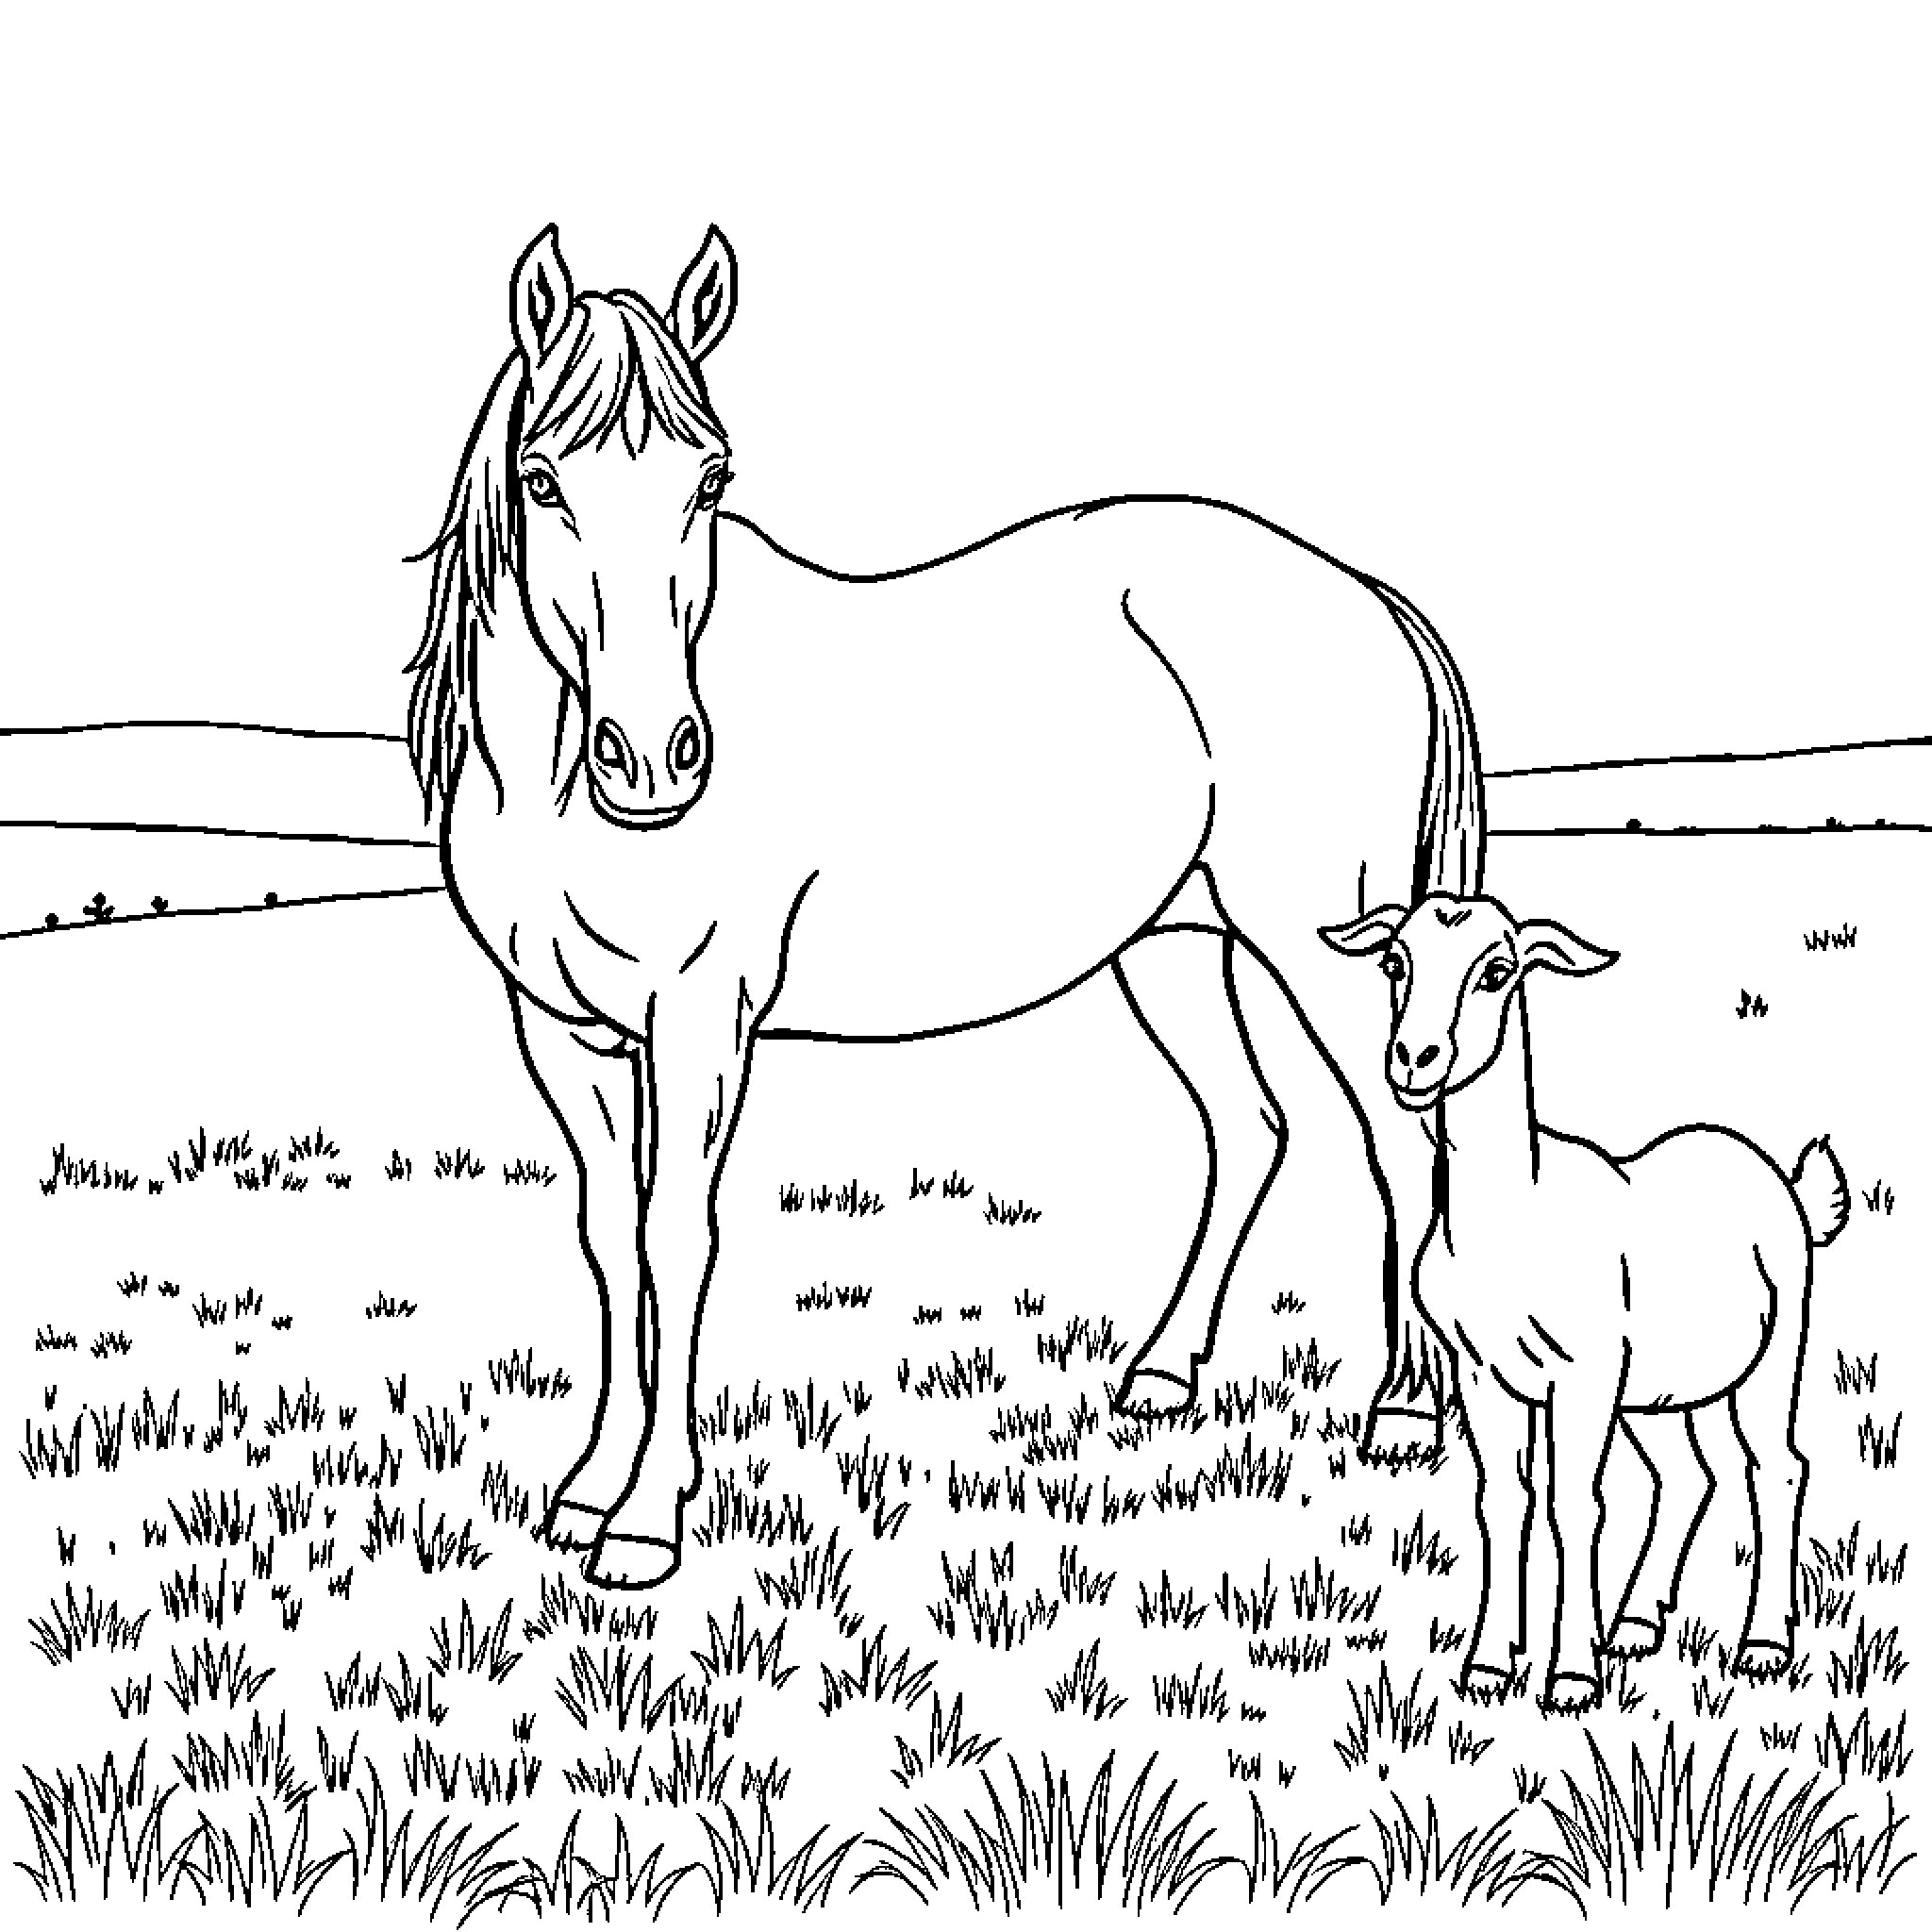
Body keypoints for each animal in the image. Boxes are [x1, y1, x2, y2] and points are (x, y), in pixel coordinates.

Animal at [406, 224, 1487, 1588]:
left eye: (710, 478)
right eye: (543, 479)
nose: (654, 760)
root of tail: (1362, 594)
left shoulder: (699, 1020)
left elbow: (675, 1236)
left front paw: (648, 1520)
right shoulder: (562, 1029)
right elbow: (608, 1236)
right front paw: (588, 1487)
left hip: (1330, 953)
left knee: (1403, 1149)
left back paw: (1403, 1413)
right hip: (1175, 945)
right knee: (1251, 1128)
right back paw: (1160, 1377)